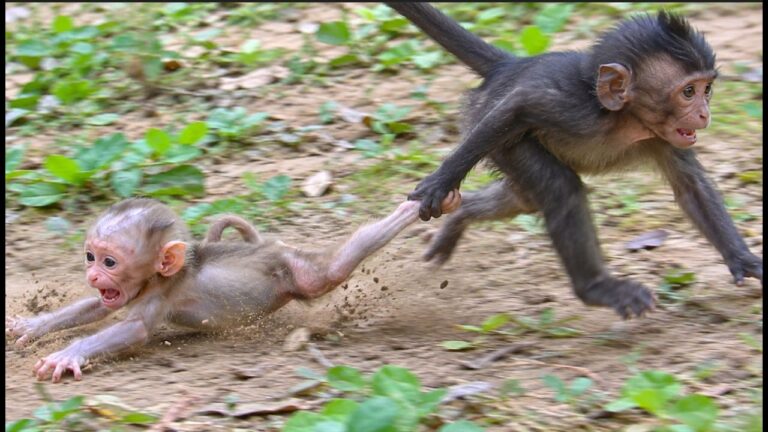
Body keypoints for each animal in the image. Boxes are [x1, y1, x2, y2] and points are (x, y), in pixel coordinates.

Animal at [5, 191, 461, 383]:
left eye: (110, 261)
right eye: (90, 256)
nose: (95, 275)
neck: (160, 276)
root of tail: (270, 247)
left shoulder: (159, 293)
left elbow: (133, 329)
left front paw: (66, 354)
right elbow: (99, 308)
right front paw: (32, 327)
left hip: (295, 269)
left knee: (330, 269)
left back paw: (412, 209)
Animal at [386, 3, 762, 319]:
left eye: (707, 89)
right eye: (688, 92)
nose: (704, 113)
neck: (627, 119)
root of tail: (510, 66)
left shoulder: (665, 137)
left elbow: (691, 187)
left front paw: (744, 260)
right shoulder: (575, 109)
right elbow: (518, 107)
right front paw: (439, 182)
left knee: (522, 198)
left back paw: (460, 216)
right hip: (497, 131)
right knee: (558, 185)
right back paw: (597, 288)